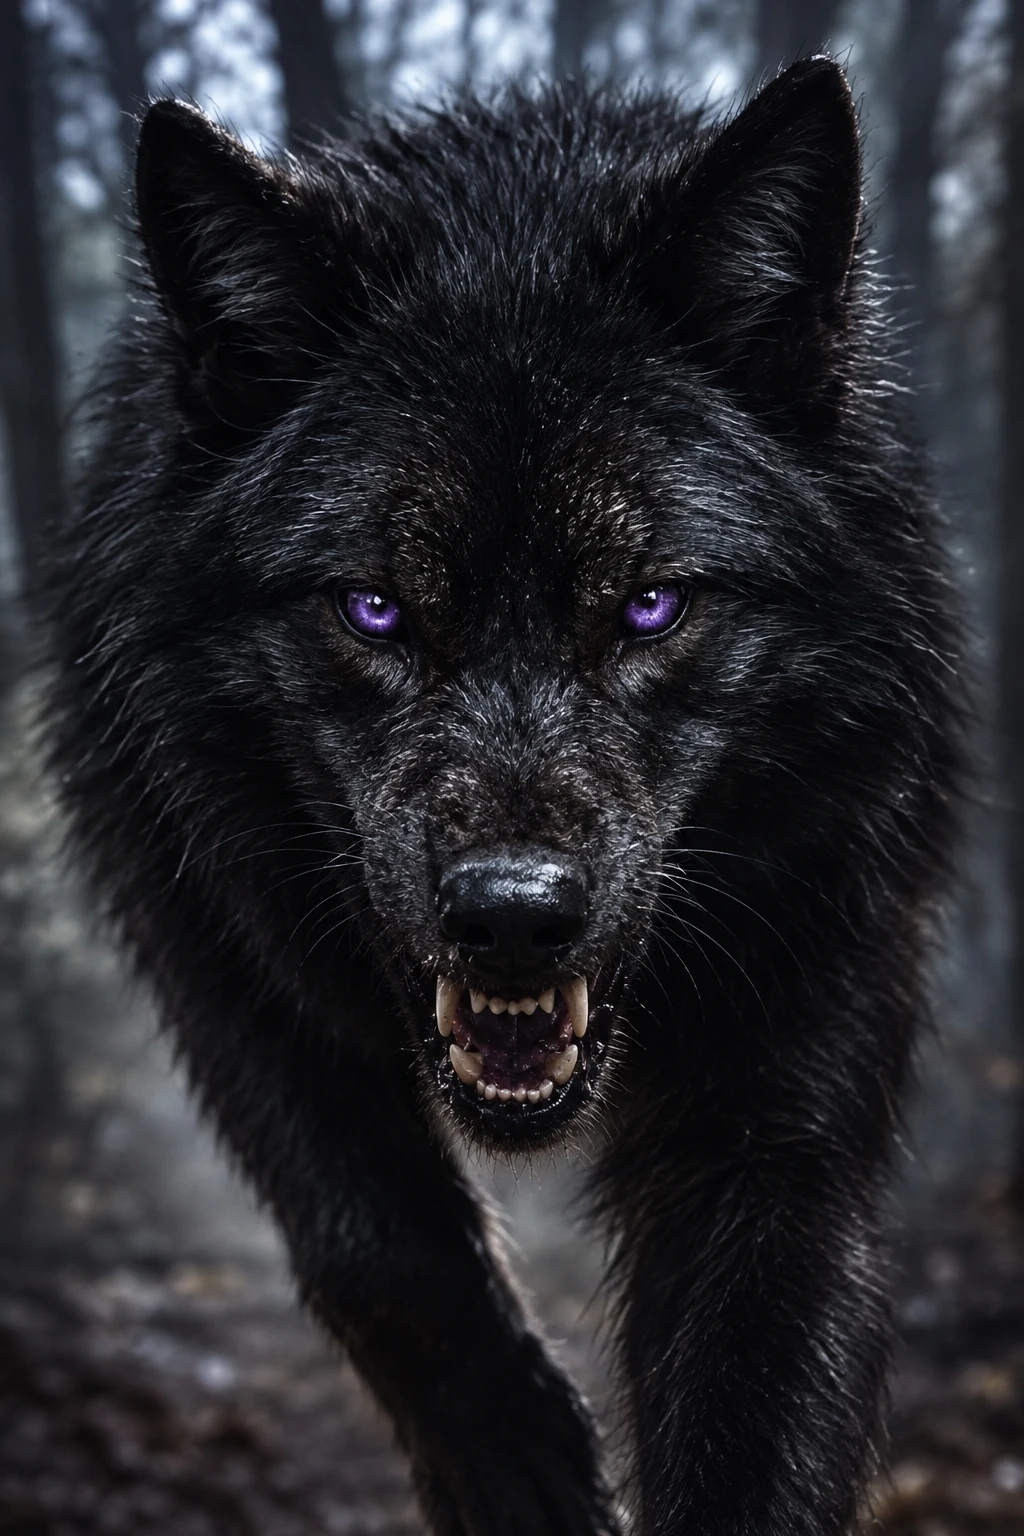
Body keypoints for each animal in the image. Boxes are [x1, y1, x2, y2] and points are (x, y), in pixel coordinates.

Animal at [43, 56, 963, 1536]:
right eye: (374, 608)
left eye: (649, 606)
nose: (513, 917)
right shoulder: (214, 951)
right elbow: (380, 1246)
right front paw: (520, 1473)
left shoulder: (790, 1057)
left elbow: (759, 1371)